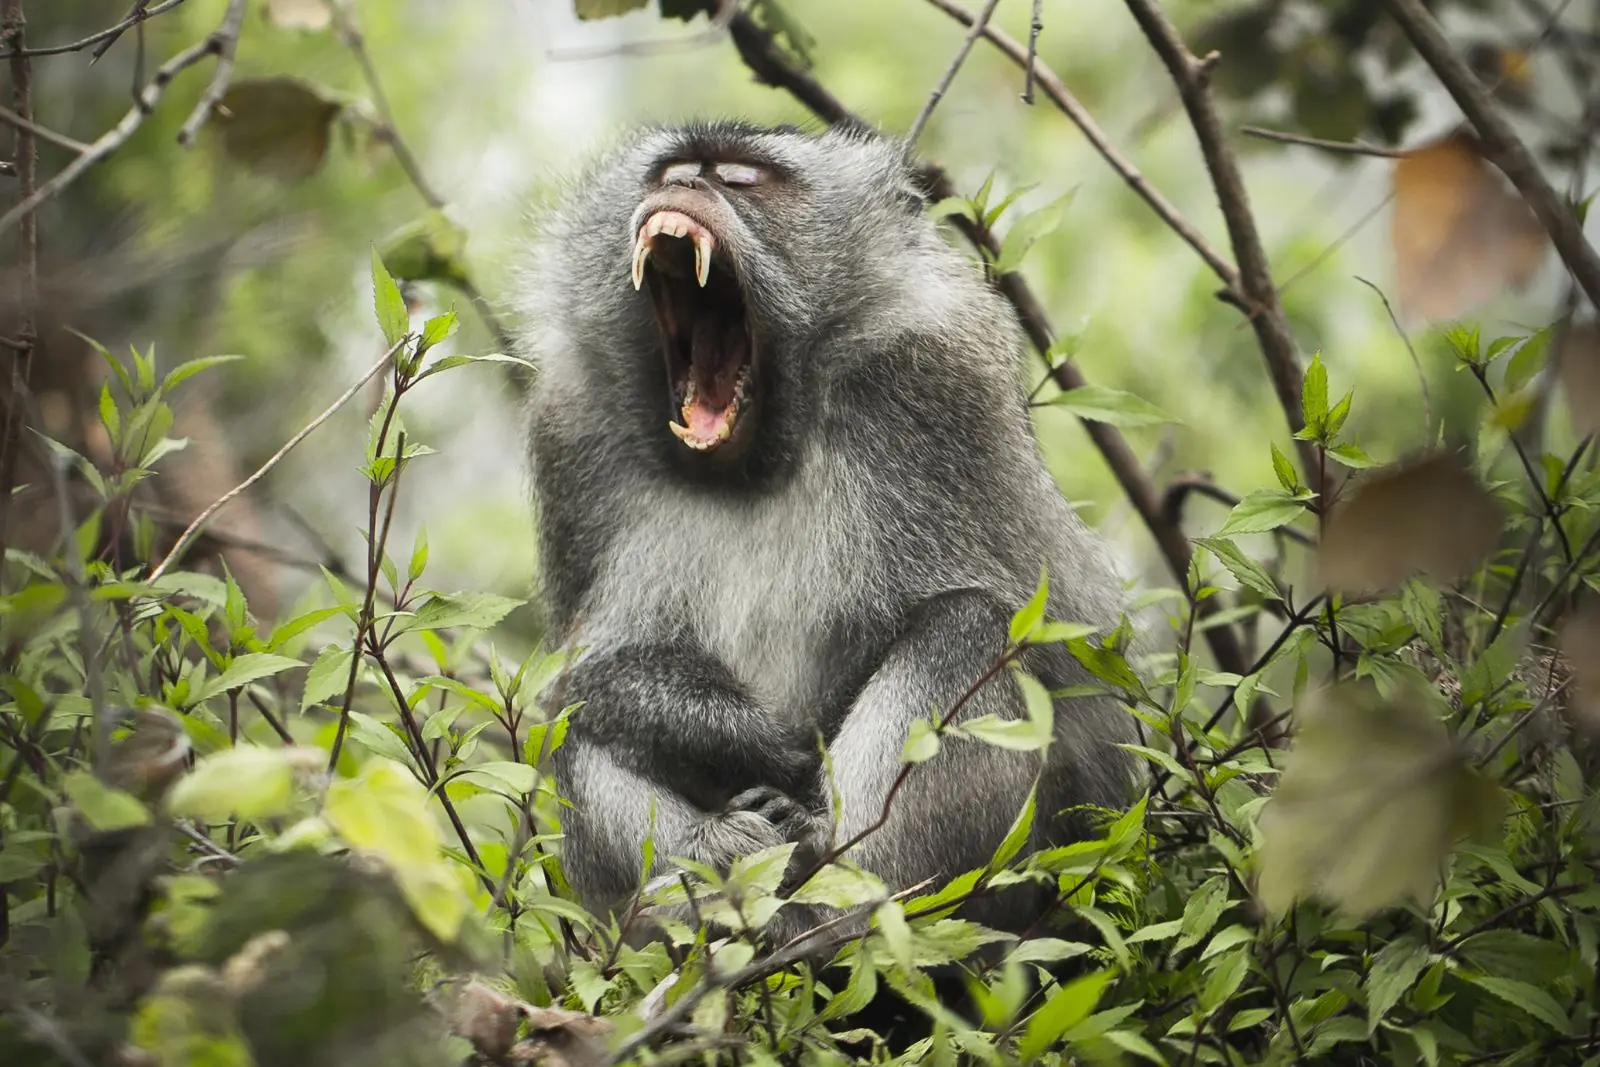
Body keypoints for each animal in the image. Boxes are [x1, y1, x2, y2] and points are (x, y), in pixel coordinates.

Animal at [515, 120, 1142, 951]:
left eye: (742, 178)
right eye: (674, 169)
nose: (683, 189)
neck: (753, 465)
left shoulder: (943, 383)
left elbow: (1057, 643)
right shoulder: (569, 432)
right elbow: (588, 674)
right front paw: (736, 736)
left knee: (969, 627)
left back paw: (838, 895)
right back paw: (712, 875)